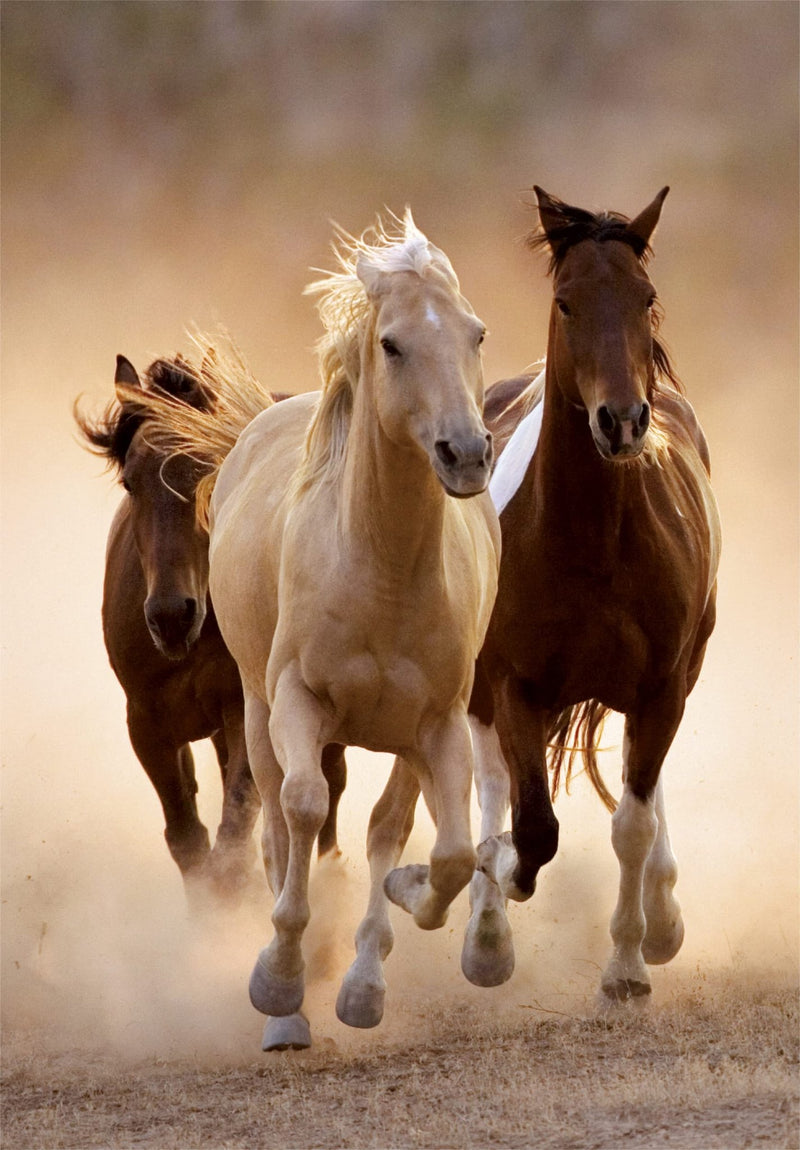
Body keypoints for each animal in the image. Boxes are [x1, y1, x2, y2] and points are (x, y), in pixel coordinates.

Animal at [75, 353, 348, 906]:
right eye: (130, 482)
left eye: (208, 470)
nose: (170, 616)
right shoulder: (148, 724)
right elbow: (188, 839)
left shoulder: (245, 709)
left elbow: (235, 833)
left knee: (329, 786)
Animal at [131, 212, 501, 1050]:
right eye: (392, 343)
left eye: (477, 333)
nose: (466, 454)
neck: (381, 570)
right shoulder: (296, 702)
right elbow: (300, 811)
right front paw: (278, 982)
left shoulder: (438, 724)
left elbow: (445, 851)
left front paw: (400, 911)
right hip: (255, 712)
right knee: (276, 822)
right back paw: (289, 1009)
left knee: (386, 826)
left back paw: (362, 976)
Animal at [473, 187, 721, 1004]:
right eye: (566, 301)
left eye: (645, 297)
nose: (621, 421)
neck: (593, 541)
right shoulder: (514, 684)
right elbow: (532, 826)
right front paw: (498, 884)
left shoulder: (661, 687)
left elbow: (632, 824)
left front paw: (629, 964)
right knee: (491, 783)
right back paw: (484, 929)